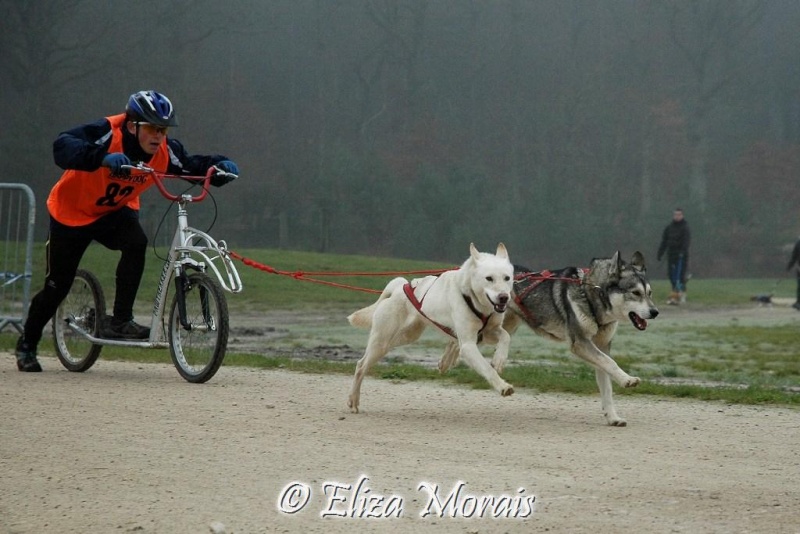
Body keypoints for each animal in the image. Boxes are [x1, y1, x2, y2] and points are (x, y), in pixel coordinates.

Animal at [348, 244, 512, 414]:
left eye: (507, 278)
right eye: (489, 278)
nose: (504, 297)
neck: (472, 297)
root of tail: (398, 289)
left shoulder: (488, 332)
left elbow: (506, 336)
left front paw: (499, 360)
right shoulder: (468, 345)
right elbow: (487, 369)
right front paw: (503, 386)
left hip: (404, 337)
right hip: (381, 342)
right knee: (361, 366)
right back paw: (353, 400)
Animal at [438, 253, 656, 430]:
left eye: (649, 293)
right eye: (635, 293)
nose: (655, 312)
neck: (590, 293)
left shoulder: (601, 347)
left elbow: (607, 386)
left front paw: (613, 417)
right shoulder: (581, 344)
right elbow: (611, 364)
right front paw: (628, 380)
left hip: (500, 328)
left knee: (457, 341)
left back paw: (447, 361)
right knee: (459, 340)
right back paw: (448, 361)